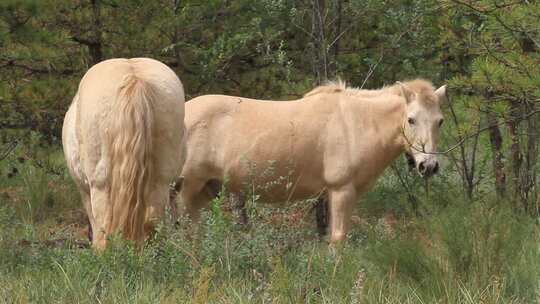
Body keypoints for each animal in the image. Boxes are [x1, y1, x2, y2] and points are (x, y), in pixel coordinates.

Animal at [62, 57, 186, 249]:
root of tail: (135, 79)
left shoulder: (85, 191)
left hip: (100, 185)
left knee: (103, 230)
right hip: (160, 181)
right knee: (151, 222)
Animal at [179, 79, 446, 242]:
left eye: (440, 121)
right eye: (411, 119)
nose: (428, 166)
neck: (356, 122)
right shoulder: (341, 190)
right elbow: (337, 238)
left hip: (206, 189)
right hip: (188, 187)